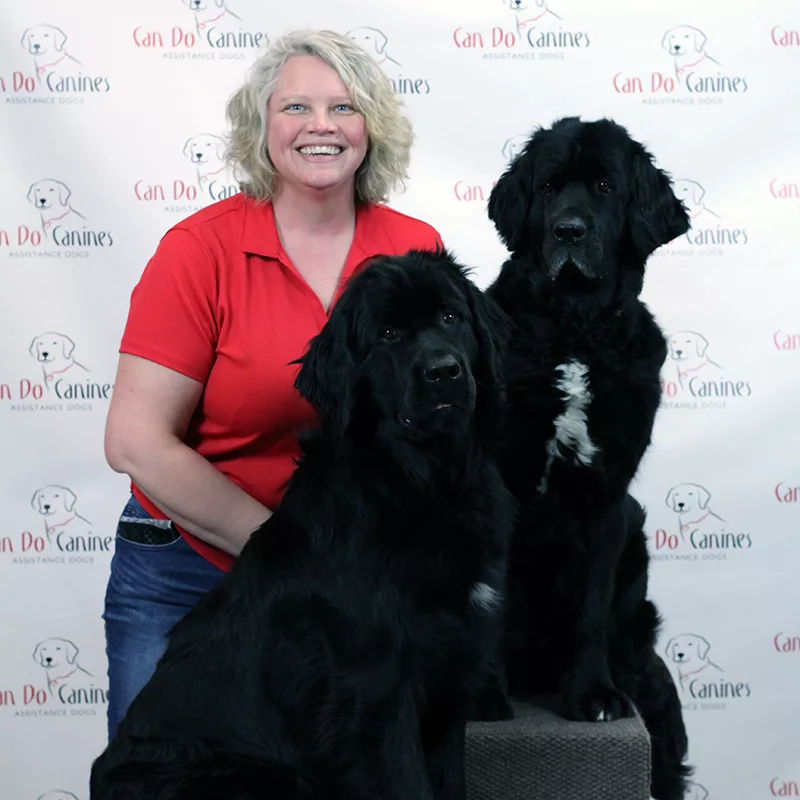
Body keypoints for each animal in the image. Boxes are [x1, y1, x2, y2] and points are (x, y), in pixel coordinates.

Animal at [89, 252, 512, 800]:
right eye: (389, 333)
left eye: (451, 317)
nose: (444, 371)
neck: (422, 482)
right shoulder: (376, 693)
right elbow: (406, 782)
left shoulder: (449, 685)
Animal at [476, 117, 692, 800]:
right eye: (548, 187)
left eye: (603, 187)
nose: (569, 231)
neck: (573, 335)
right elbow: (492, 597)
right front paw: (485, 693)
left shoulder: (607, 495)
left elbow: (592, 608)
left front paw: (594, 694)